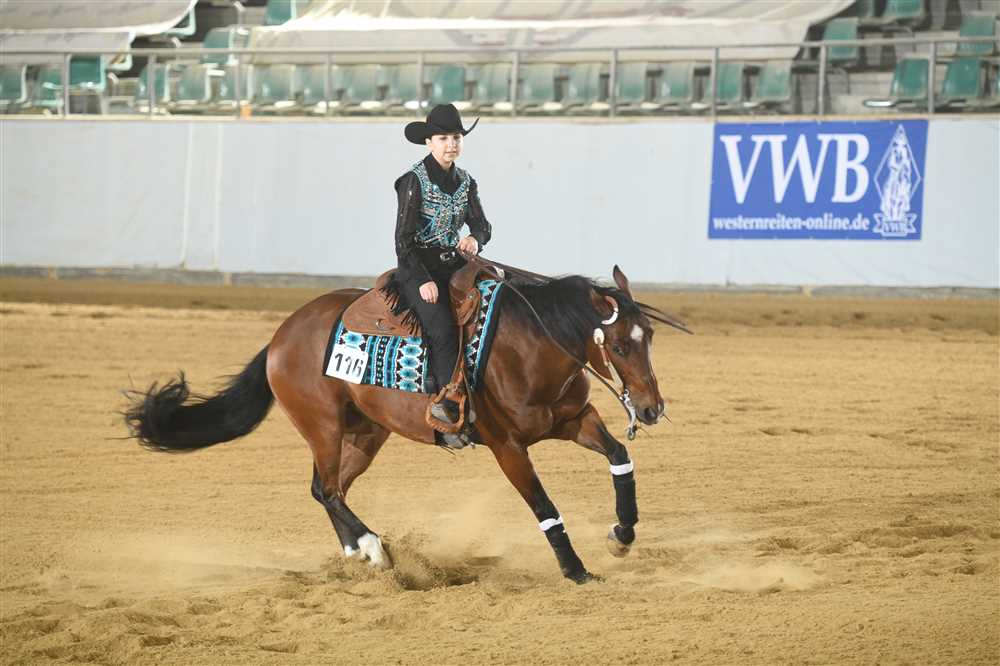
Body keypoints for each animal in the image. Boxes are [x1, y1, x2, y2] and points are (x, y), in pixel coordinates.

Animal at [125, 264, 690, 583]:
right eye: (618, 346)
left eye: (649, 338)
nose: (651, 408)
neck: (528, 347)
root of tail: (282, 335)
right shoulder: (508, 447)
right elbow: (545, 508)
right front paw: (575, 571)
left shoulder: (574, 420)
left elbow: (620, 457)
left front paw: (622, 534)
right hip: (324, 427)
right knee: (328, 489)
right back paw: (375, 548)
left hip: (365, 433)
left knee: (324, 489)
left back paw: (358, 552)